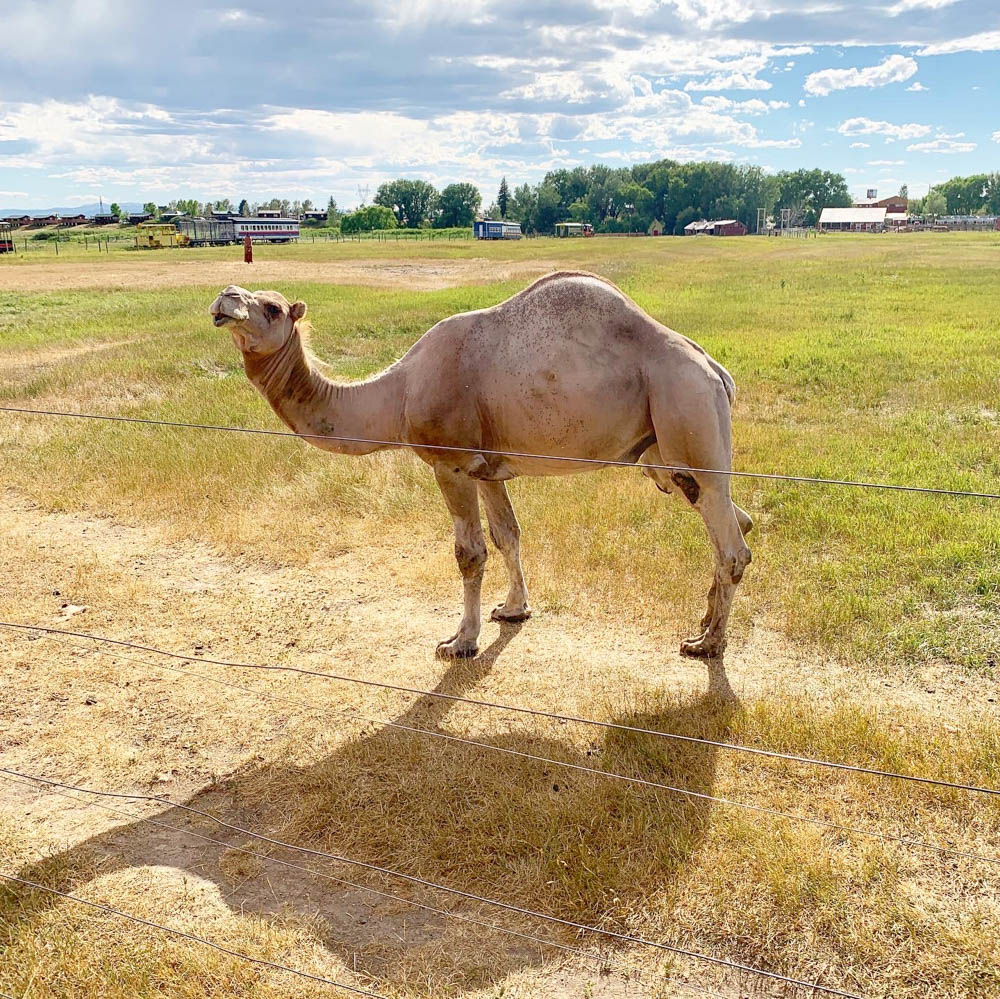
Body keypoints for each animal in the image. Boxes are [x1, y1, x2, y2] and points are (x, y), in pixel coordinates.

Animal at [211, 276, 752, 664]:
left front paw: (460, 642)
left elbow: (469, 553)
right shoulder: (488, 470)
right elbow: (508, 535)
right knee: (735, 519)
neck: (398, 394)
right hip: (663, 455)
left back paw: (708, 644)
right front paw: (513, 610)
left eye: (273, 307)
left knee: (731, 544)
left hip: (686, 408)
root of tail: (716, 372)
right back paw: (704, 623)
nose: (225, 297)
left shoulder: (450, 463)